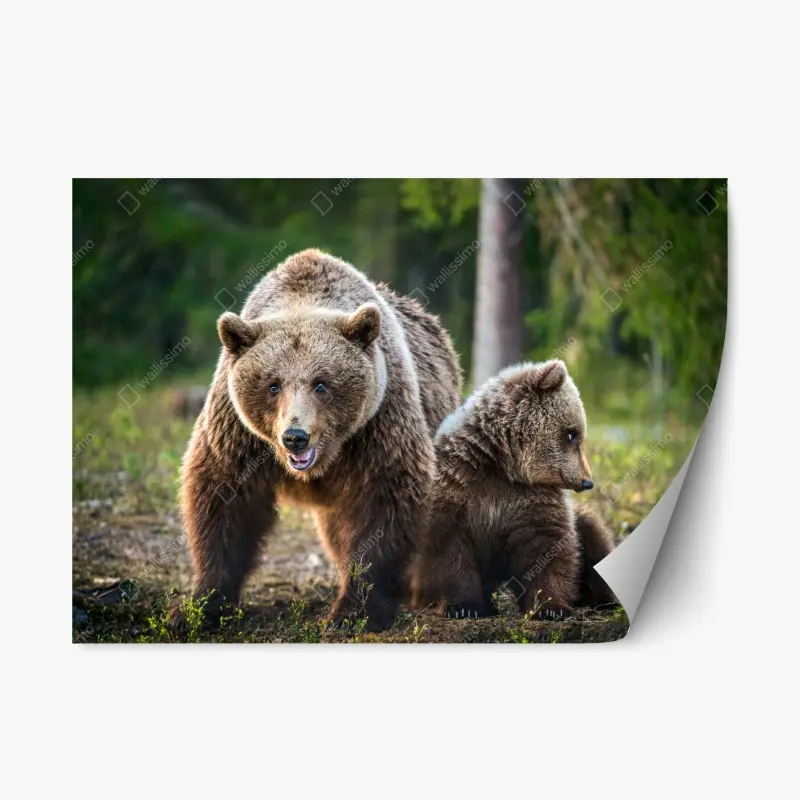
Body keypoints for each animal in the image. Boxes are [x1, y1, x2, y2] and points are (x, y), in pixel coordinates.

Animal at [178, 249, 462, 632]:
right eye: (273, 384)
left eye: (321, 383)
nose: (295, 437)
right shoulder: (237, 431)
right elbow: (224, 498)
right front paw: (202, 605)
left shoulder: (379, 423)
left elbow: (385, 500)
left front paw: (353, 610)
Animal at [412, 359, 616, 620]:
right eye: (572, 434)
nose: (586, 481)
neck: (503, 464)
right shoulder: (456, 484)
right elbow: (447, 547)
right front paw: (463, 607)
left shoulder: (531, 497)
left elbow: (546, 545)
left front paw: (549, 607)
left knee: (592, 534)